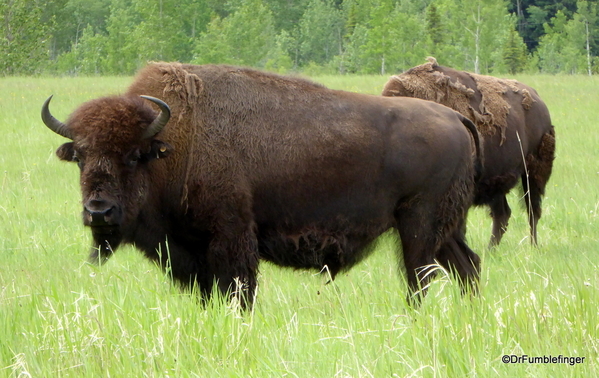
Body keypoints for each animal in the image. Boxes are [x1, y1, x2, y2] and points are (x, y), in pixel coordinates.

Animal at [42, 61, 482, 304]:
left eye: (134, 156)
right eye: (79, 157)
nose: (98, 211)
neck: (178, 142)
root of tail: (455, 117)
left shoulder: (231, 237)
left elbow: (240, 290)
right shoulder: (195, 252)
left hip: (418, 225)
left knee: (420, 278)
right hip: (445, 230)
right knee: (467, 267)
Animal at [384, 57, 556, 247]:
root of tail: (538, 101)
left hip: (533, 172)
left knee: (532, 211)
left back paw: (532, 246)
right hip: (497, 182)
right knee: (503, 214)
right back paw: (491, 249)